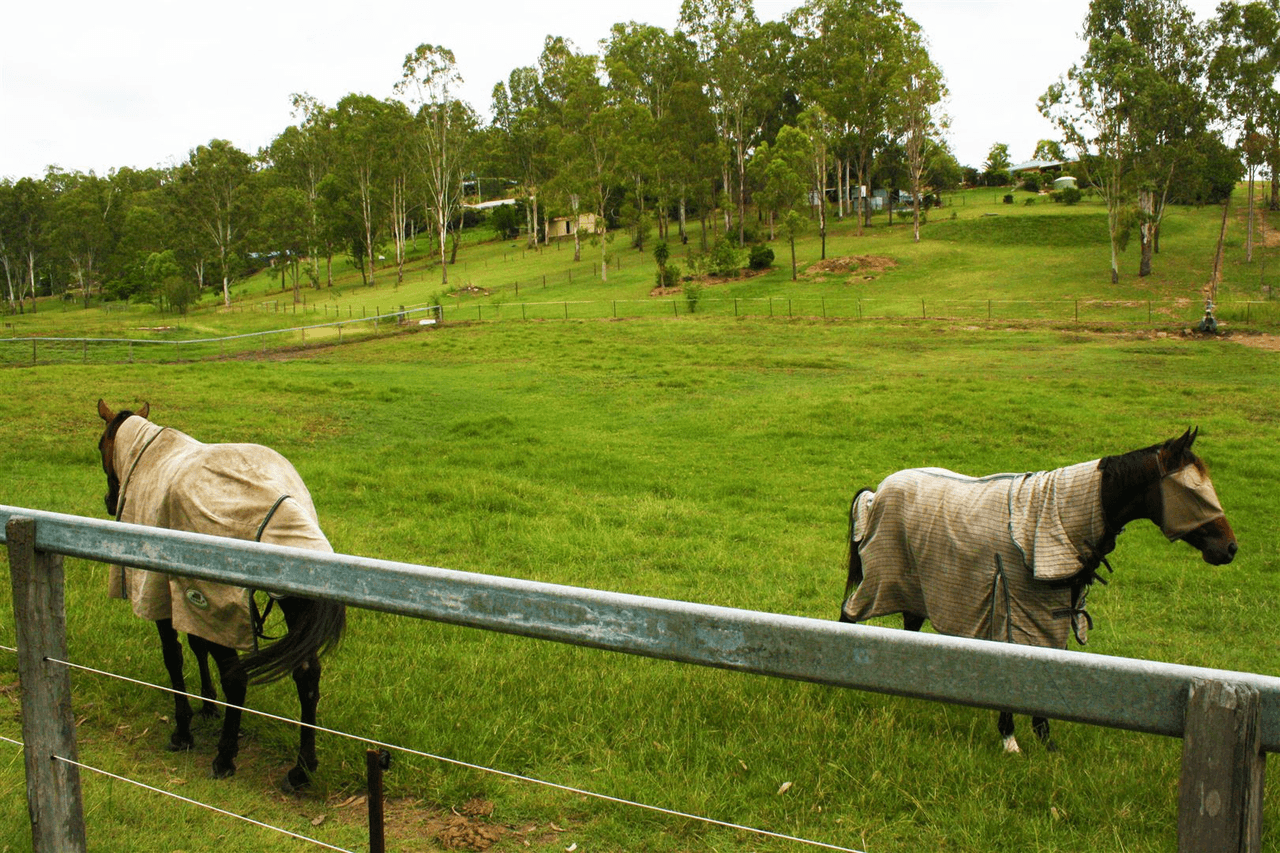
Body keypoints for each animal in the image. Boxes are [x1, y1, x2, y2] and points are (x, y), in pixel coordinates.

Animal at [95, 399, 345, 788]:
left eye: (99, 447)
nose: (108, 500)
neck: (148, 456)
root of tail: (281, 502)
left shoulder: (163, 597)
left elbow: (173, 657)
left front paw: (183, 731)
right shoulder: (188, 603)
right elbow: (197, 647)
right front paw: (208, 704)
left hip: (222, 604)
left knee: (237, 678)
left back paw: (225, 757)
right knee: (306, 675)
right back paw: (301, 768)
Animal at [839, 432, 1239, 753]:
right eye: (1193, 493)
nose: (1229, 548)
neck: (1059, 517)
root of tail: (876, 495)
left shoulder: (1053, 617)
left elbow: (1044, 673)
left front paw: (1046, 742)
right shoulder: (1014, 612)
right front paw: (1009, 739)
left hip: (917, 588)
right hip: (881, 579)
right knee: (848, 616)